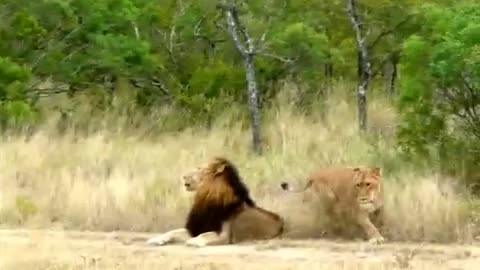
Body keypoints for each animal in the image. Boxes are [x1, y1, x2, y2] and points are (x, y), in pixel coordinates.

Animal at [145, 156, 282, 247]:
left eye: (200, 169)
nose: (183, 176)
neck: (206, 198)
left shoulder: (225, 236)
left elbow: (205, 235)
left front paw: (194, 241)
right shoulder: (194, 229)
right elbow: (173, 231)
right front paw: (156, 239)